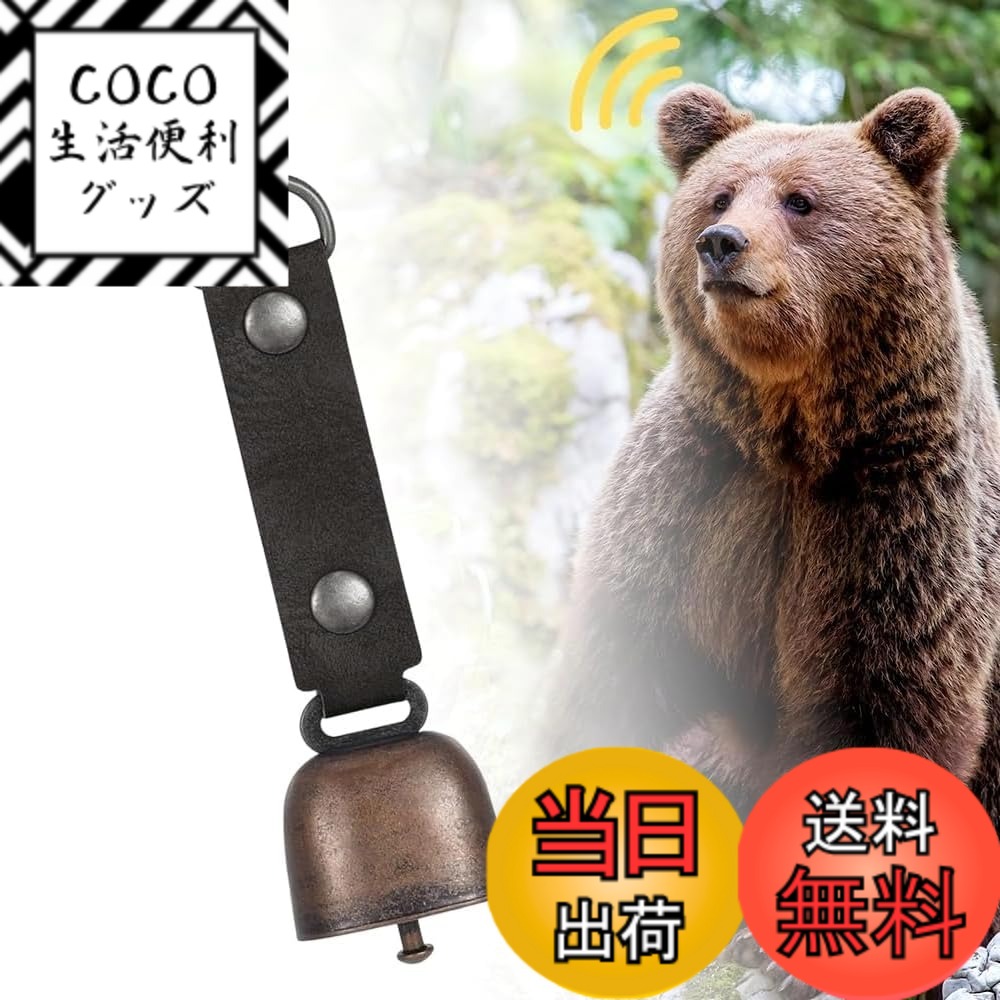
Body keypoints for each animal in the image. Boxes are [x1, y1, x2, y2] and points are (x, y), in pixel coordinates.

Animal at [553, 84, 1000, 948]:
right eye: (720, 195)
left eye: (801, 200)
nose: (721, 245)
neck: (796, 432)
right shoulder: (694, 482)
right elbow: (622, 644)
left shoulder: (898, 506)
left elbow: (879, 688)